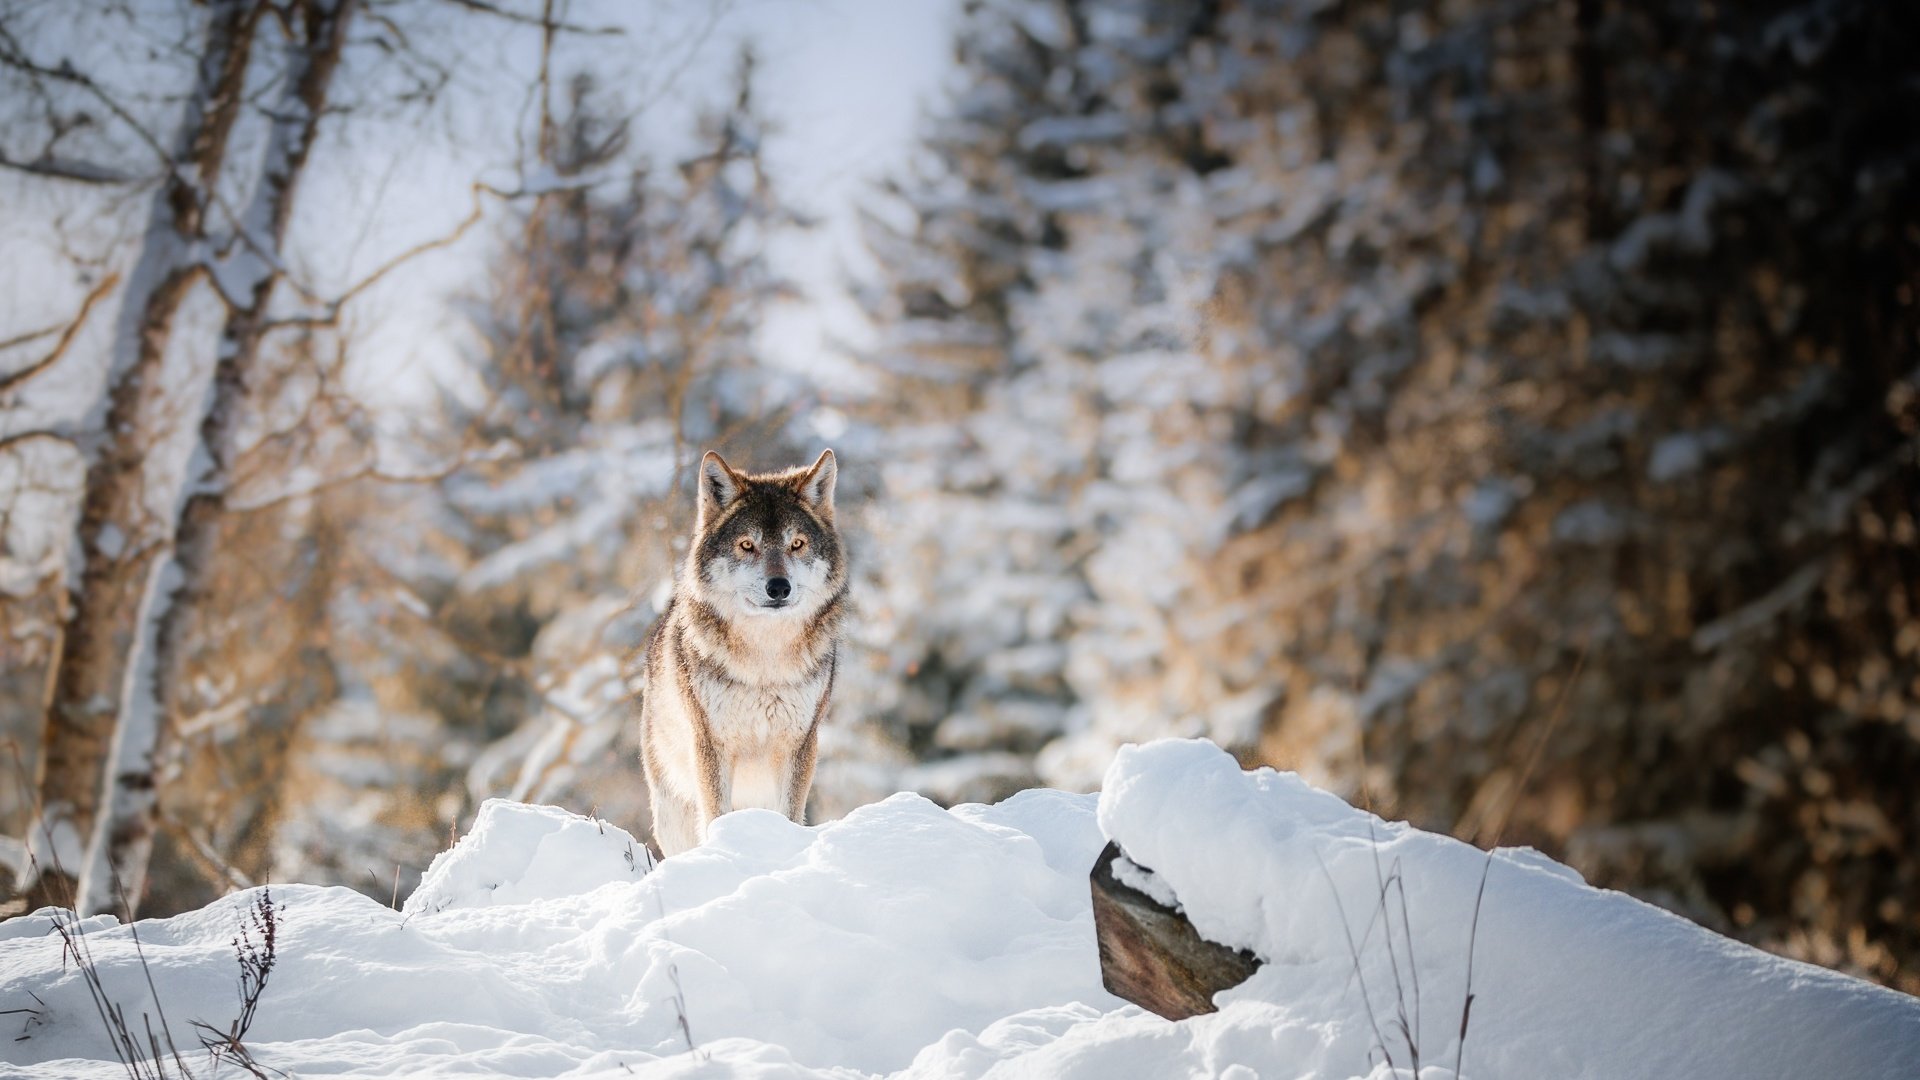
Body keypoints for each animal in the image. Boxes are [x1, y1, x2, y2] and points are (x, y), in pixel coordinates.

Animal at [641, 445, 844, 849]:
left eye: (796, 544)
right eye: (747, 545)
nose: (778, 587)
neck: (764, 663)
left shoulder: (799, 745)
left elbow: (790, 815)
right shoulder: (710, 745)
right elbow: (716, 814)